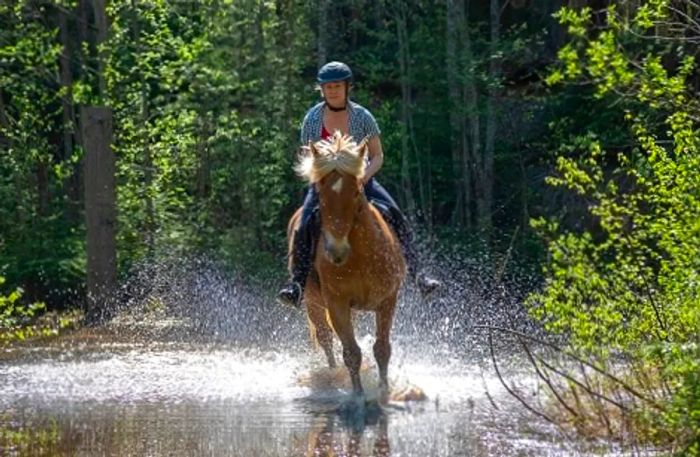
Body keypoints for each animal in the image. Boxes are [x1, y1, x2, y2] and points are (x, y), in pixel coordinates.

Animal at [284, 131, 404, 396]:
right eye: (320, 193)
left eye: (357, 192)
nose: (336, 251)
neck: (360, 256)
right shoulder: (337, 304)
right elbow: (351, 352)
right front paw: (358, 395)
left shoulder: (387, 300)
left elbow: (382, 348)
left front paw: (384, 390)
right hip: (313, 303)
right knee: (326, 339)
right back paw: (332, 375)